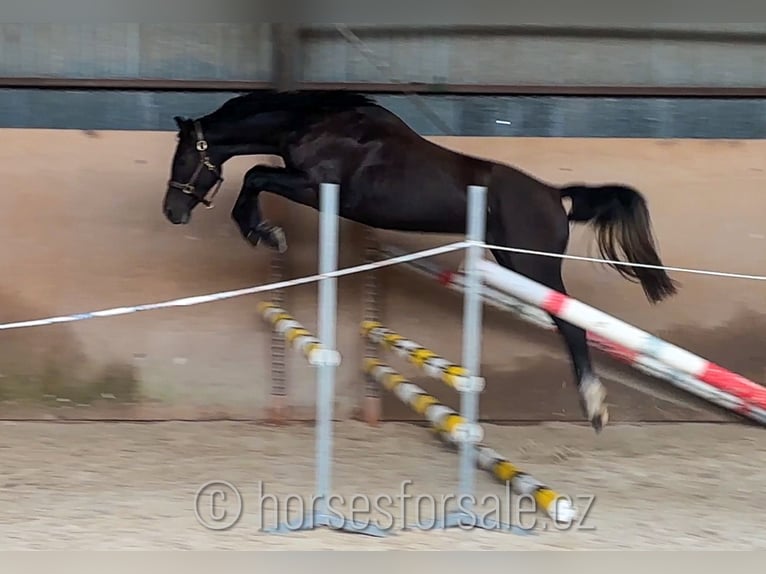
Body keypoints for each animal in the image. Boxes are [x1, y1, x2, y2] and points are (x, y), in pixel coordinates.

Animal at [162, 89, 680, 432]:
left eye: (183, 158)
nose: (172, 211)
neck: (321, 125)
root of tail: (556, 195)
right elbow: (256, 177)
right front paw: (264, 232)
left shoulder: (315, 186)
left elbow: (254, 175)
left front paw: (264, 232)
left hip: (532, 267)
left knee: (570, 324)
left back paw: (594, 406)